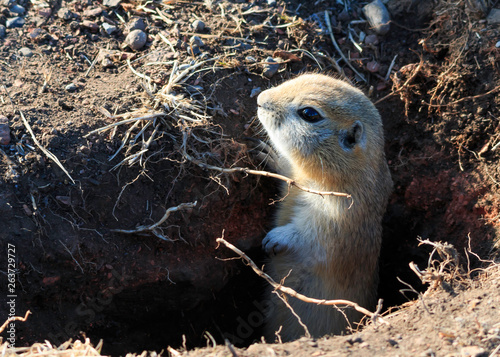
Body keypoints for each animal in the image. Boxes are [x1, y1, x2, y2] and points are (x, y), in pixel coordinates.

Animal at [258, 73, 394, 340]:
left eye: (309, 113)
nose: (260, 99)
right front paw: (270, 154)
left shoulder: (337, 218)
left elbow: (307, 237)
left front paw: (273, 239)